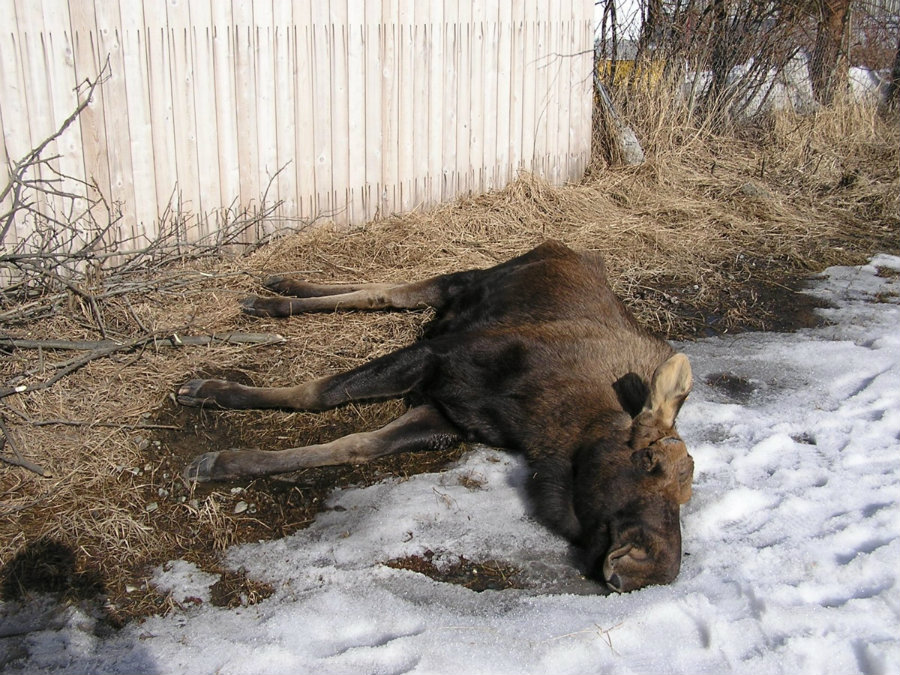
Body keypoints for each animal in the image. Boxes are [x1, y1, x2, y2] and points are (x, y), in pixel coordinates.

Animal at [178, 242, 696, 592]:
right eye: (649, 460)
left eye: (687, 496)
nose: (652, 570)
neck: (546, 425)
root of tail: (560, 248)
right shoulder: (440, 356)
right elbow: (319, 393)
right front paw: (214, 393)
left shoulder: (447, 415)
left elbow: (354, 446)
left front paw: (228, 461)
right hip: (467, 279)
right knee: (388, 291)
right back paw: (274, 298)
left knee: (380, 292)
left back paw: (279, 290)